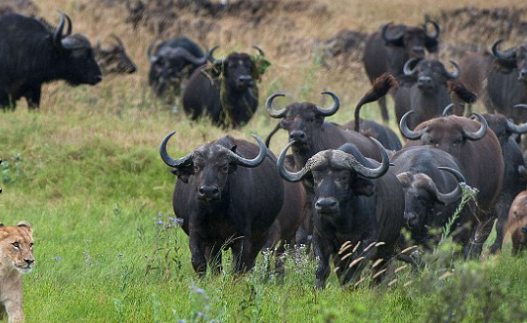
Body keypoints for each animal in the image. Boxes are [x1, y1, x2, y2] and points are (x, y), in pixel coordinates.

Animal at [276, 140, 404, 290]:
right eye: (316, 177)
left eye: (343, 177)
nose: (325, 204)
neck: (342, 222)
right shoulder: (320, 238)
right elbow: (323, 268)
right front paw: (318, 289)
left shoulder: (368, 241)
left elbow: (354, 267)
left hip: (387, 248)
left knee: (380, 272)